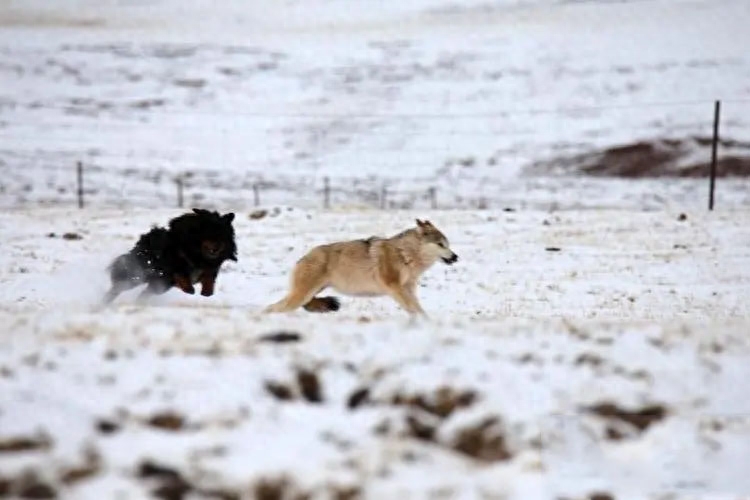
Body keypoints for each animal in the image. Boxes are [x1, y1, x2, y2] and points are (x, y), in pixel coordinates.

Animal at [103, 208, 238, 304]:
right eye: (208, 233)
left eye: (223, 235)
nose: (216, 248)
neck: (198, 254)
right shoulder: (173, 266)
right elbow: (181, 274)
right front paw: (189, 289)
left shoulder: (210, 268)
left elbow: (209, 279)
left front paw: (207, 291)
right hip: (138, 276)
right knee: (117, 288)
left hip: (159, 286)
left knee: (143, 294)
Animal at [264, 220, 458, 316]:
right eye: (440, 244)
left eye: (447, 244)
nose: (456, 257)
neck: (405, 254)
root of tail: (302, 258)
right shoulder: (395, 288)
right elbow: (415, 309)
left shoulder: (408, 289)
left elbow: (416, 308)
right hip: (302, 296)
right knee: (273, 308)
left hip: (308, 295)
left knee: (273, 307)